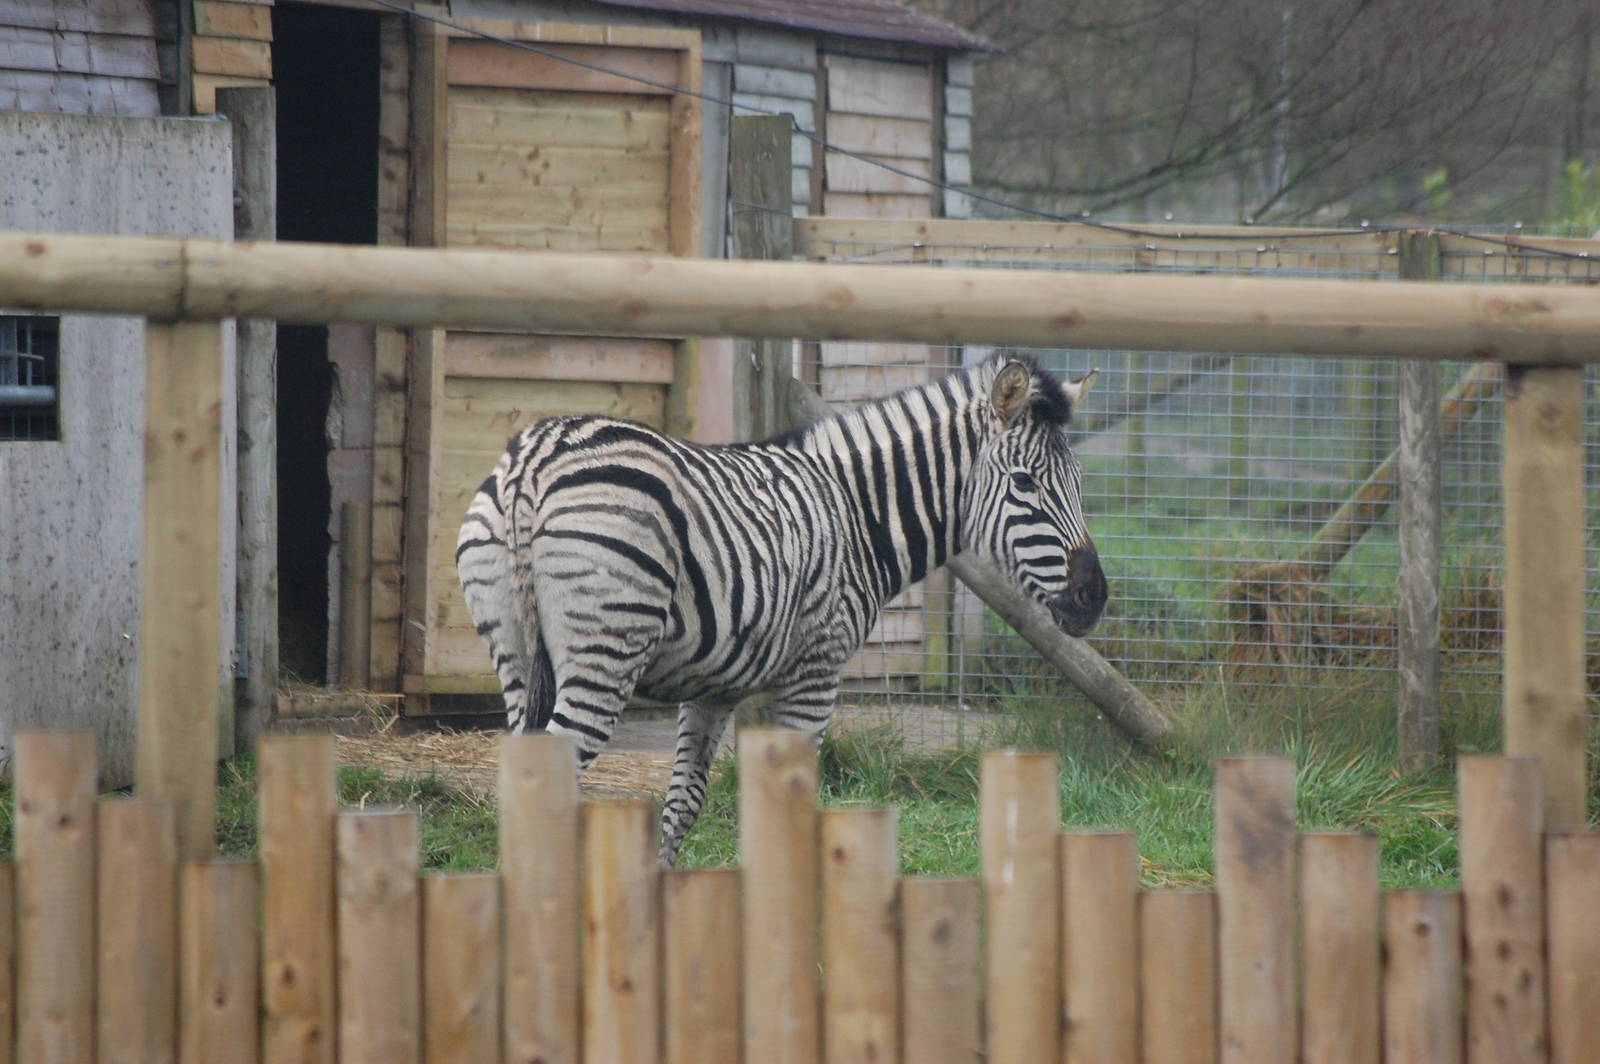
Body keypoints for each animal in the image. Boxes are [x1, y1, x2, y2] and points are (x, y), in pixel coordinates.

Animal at [455, 355, 1107, 864]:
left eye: (1079, 482)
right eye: (1024, 484)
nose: (1094, 597)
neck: (856, 516)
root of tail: (538, 452)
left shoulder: (714, 686)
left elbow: (685, 802)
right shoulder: (816, 670)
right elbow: (791, 798)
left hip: (512, 651)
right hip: (604, 649)